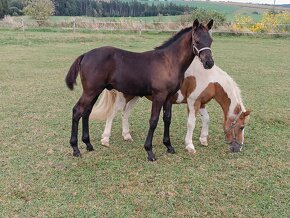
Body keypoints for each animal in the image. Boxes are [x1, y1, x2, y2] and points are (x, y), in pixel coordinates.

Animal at [66, 19, 215, 160]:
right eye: (197, 41)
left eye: (210, 40)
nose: (209, 63)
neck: (169, 61)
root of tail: (85, 55)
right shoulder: (159, 96)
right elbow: (153, 120)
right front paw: (149, 151)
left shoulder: (169, 97)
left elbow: (167, 119)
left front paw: (169, 146)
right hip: (90, 91)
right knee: (77, 111)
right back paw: (75, 149)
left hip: (95, 92)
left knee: (86, 112)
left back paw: (88, 144)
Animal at [92, 57, 250, 154]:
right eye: (241, 127)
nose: (239, 148)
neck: (210, 79)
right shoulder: (192, 102)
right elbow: (191, 124)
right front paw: (189, 146)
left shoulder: (201, 103)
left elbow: (206, 119)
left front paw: (203, 139)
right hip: (124, 96)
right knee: (113, 113)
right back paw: (105, 139)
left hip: (135, 96)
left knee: (125, 114)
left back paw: (127, 135)